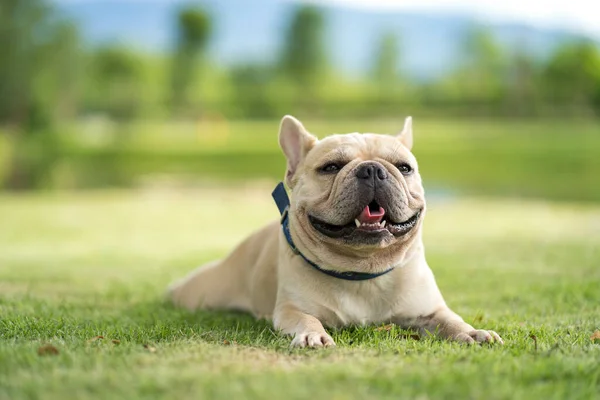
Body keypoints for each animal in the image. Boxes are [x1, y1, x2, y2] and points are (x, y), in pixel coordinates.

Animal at [168, 115, 502, 346]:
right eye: (330, 167)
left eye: (404, 167)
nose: (372, 169)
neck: (363, 270)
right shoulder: (292, 309)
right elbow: (307, 320)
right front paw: (312, 335)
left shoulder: (432, 311)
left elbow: (453, 321)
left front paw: (473, 332)